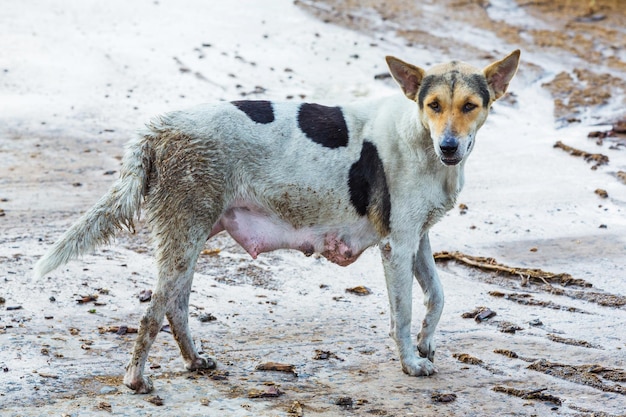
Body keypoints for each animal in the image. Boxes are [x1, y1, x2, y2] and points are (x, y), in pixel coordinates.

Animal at [36, 50, 520, 392]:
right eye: (433, 104)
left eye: (470, 105)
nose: (450, 146)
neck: (421, 135)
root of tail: (161, 128)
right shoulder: (396, 246)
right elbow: (401, 315)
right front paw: (410, 362)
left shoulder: (417, 239)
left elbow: (437, 297)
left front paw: (426, 342)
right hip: (183, 238)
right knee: (151, 314)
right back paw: (135, 380)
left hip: (189, 239)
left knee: (175, 307)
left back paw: (194, 361)